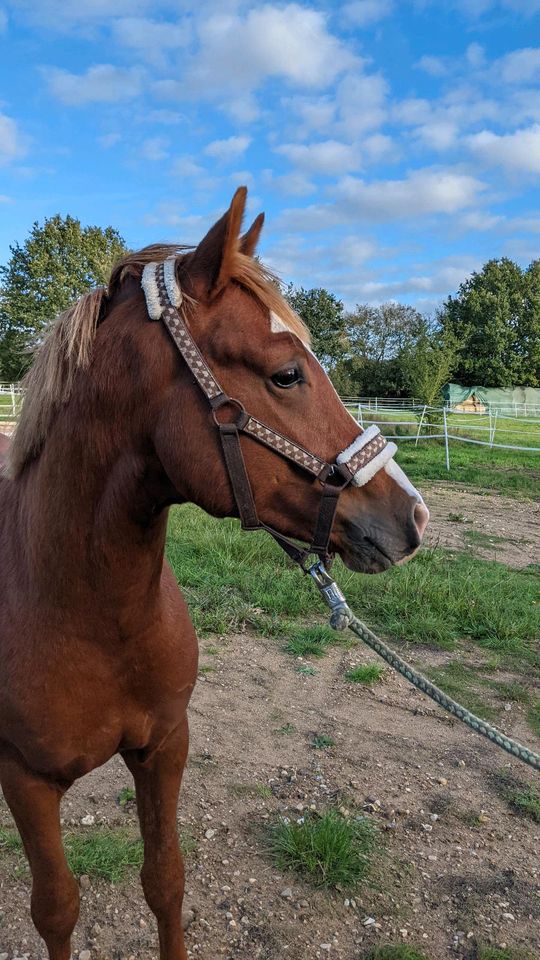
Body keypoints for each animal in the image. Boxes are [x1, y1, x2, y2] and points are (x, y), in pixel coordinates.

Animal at [1, 189, 430, 960]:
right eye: (287, 373)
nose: (413, 516)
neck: (86, 612)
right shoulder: (26, 782)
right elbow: (55, 908)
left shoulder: (165, 748)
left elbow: (165, 881)